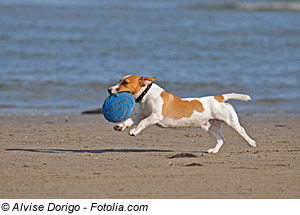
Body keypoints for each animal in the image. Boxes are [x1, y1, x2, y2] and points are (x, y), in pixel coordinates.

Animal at [108, 75, 255, 153]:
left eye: (125, 82)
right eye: (120, 80)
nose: (109, 89)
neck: (147, 95)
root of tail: (219, 97)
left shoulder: (154, 116)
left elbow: (142, 123)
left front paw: (134, 131)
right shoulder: (140, 115)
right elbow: (129, 120)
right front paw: (120, 126)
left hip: (231, 121)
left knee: (241, 131)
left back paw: (251, 143)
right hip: (211, 127)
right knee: (221, 139)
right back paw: (213, 151)